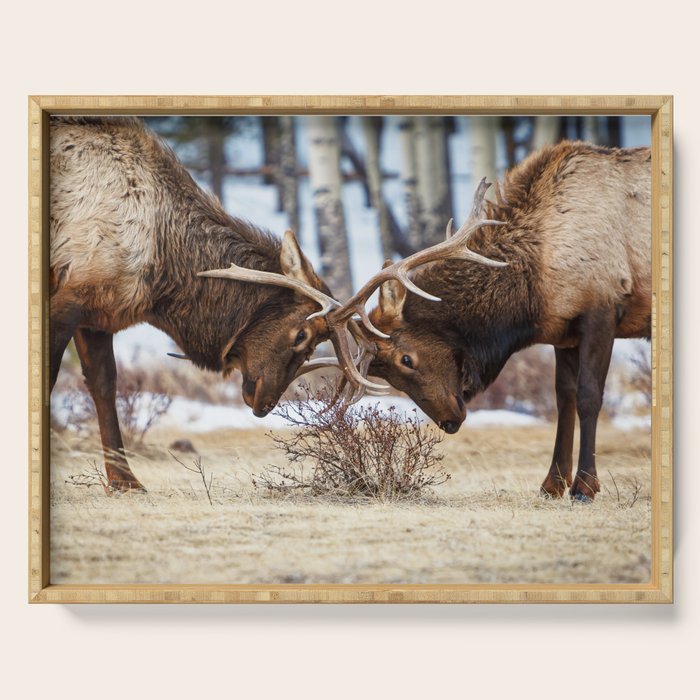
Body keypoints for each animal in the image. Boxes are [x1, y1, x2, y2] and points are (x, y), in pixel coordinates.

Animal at [50, 116, 356, 492]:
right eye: (301, 335)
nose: (266, 404)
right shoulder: (69, 299)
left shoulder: (97, 313)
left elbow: (104, 385)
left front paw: (125, 480)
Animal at [315, 141, 651, 502]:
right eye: (382, 373)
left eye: (406, 358)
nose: (449, 421)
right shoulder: (564, 332)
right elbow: (564, 399)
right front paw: (552, 484)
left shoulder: (601, 311)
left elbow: (589, 397)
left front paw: (584, 486)